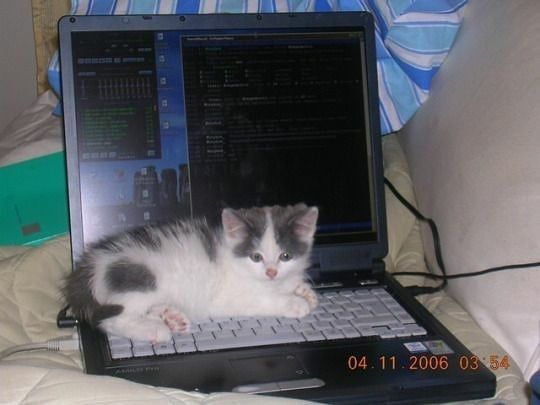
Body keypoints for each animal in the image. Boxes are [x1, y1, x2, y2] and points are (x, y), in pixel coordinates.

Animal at [63, 204, 318, 342]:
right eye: (256, 257)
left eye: (285, 256)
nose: (271, 272)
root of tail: (93, 263)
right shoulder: (227, 297)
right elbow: (263, 299)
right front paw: (295, 302)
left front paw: (304, 291)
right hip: (143, 279)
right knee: (112, 319)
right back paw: (155, 328)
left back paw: (170, 317)